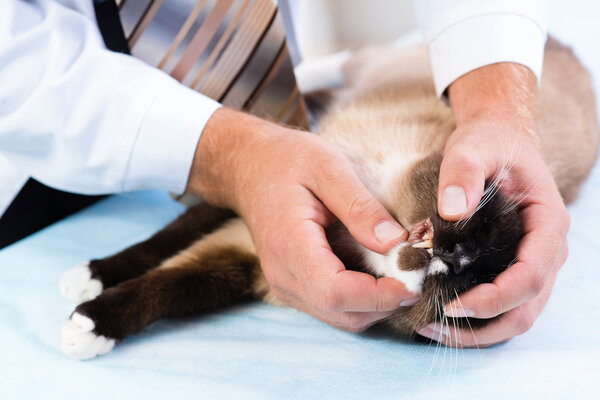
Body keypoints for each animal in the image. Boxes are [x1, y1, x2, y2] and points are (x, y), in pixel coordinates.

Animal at [59, 39, 600, 360]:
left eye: (472, 281)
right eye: (475, 230)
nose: (454, 252)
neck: (357, 247)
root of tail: (569, 50)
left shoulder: (236, 261)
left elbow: (165, 288)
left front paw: (90, 325)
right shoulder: (237, 211)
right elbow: (155, 248)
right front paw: (88, 281)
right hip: (381, 64)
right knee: (346, 62)